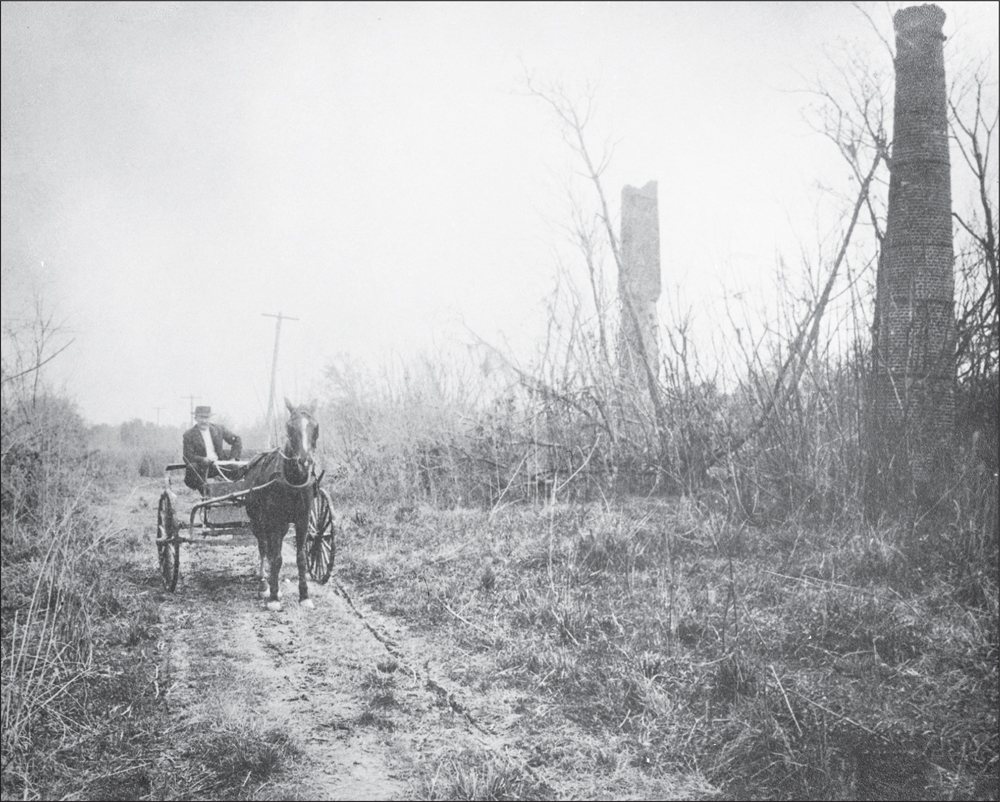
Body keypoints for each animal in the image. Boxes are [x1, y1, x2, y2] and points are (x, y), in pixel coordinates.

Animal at [244, 396, 318, 608]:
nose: (304, 462)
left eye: (315, 426)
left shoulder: (302, 520)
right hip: (258, 521)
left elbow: (301, 558)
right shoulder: (275, 521)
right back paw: (264, 584)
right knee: (263, 548)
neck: (293, 482)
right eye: (290, 426)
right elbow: (276, 557)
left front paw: (304, 595)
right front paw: (273, 597)